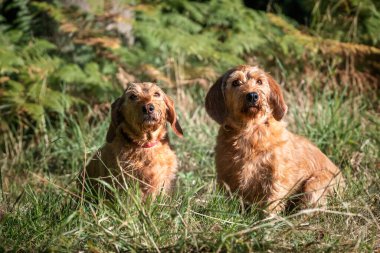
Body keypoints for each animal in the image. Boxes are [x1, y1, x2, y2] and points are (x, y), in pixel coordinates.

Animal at [206, 65, 346, 213]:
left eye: (259, 81)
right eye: (236, 82)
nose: (252, 95)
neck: (250, 131)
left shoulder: (276, 177)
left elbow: (272, 201)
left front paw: (268, 219)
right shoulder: (225, 176)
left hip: (314, 184)